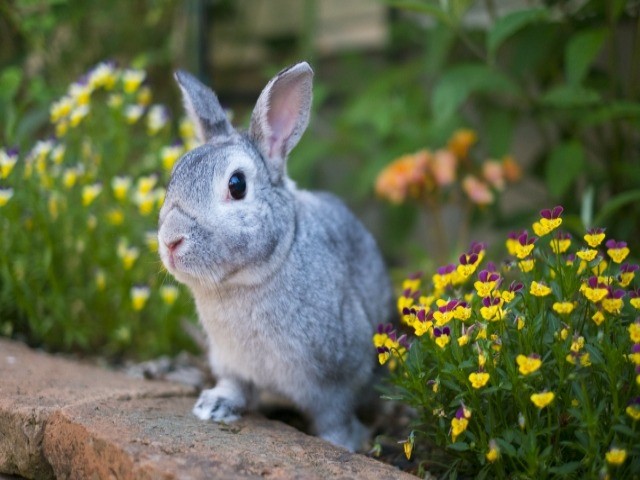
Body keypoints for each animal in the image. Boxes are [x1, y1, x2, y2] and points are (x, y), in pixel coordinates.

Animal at [158, 62, 392, 452]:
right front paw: (213, 406)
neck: (249, 279)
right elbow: (235, 385)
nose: (170, 241)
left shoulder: (338, 378)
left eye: (237, 185)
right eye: (175, 175)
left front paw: (340, 444)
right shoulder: (230, 361)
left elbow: (335, 416)